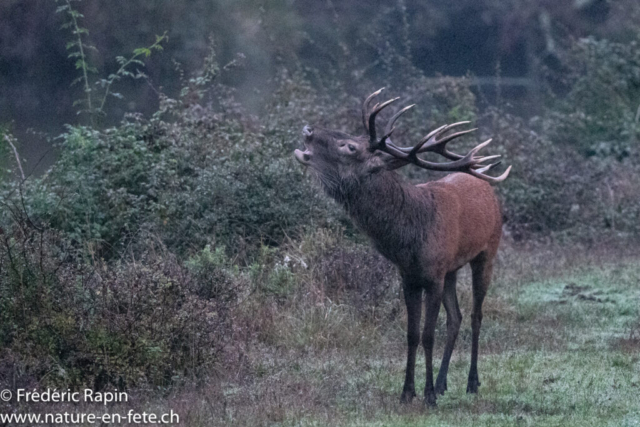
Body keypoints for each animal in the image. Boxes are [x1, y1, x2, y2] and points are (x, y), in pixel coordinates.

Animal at [293, 89, 511, 407]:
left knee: (475, 316)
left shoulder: (433, 276)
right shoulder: (409, 277)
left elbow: (428, 335)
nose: (308, 129)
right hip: (452, 269)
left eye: (349, 147)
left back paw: (471, 382)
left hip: (487, 253)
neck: (408, 240)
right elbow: (411, 334)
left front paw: (428, 395)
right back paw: (444, 382)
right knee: (455, 317)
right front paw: (408, 392)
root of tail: (488, 189)